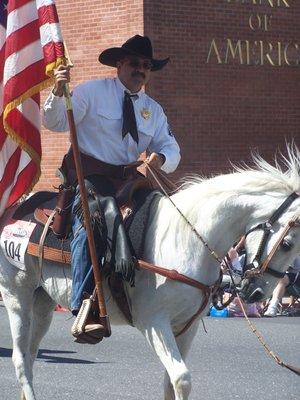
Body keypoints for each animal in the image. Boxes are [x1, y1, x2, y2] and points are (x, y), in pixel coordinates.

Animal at [0, 147, 300, 400]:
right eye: (287, 244)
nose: (258, 292)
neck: (186, 240)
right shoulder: (154, 323)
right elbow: (182, 379)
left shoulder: (186, 326)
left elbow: (169, 381)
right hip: (17, 296)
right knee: (20, 359)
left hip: (42, 302)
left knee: (31, 355)